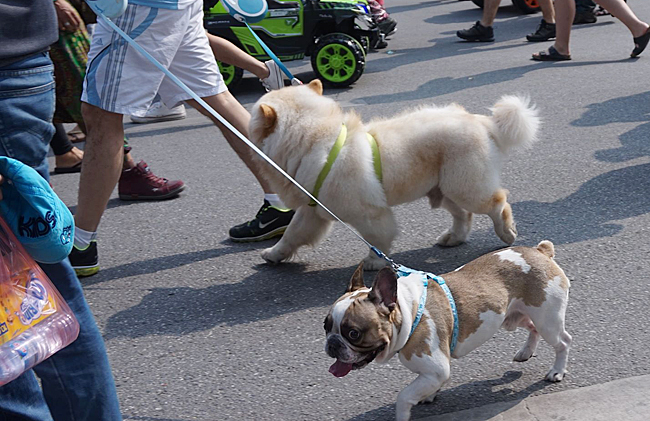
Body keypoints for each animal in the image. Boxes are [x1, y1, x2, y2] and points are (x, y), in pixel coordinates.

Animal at [251, 80, 540, 268]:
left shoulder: (369, 213)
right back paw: (451, 239)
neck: (312, 139)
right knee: (463, 216)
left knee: (497, 203)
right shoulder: (312, 209)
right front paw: (273, 254)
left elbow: (378, 239)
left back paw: (507, 233)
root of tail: (480, 120)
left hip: (465, 186)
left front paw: (373, 263)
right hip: (443, 188)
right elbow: (292, 233)